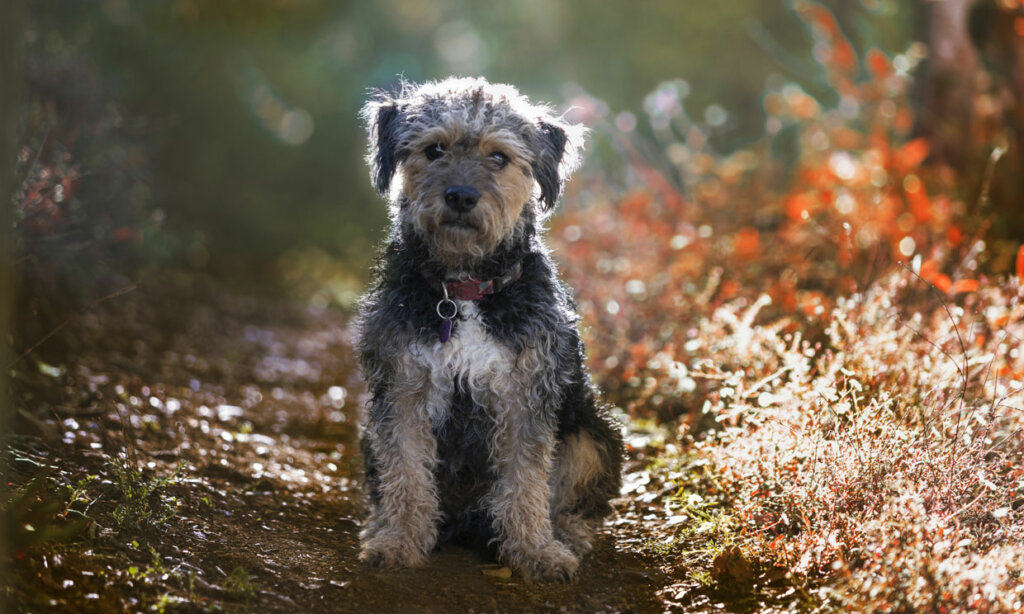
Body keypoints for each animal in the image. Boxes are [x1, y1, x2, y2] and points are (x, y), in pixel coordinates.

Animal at [352, 75, 622, 581]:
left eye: (498, 157)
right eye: (435, 149)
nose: (460, 196)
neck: (463, 290)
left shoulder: (525, 395)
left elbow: (527, 480)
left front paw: (534, 552)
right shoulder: (402, 389)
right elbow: (406, 472)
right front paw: (399, 541)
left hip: (592, 434)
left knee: (572, 500)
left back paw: (565, 535)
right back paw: (380, 523)